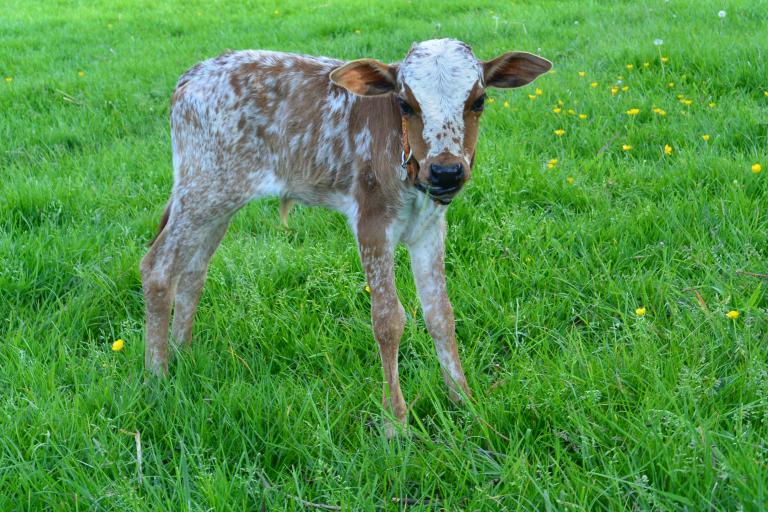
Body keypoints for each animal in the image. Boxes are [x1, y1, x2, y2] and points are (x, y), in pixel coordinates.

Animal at [142, 39, 552, 432]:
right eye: (405, 104)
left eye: (478, 100)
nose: (446, 172)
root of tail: (192, 75)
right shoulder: (371, 222)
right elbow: (388, 320)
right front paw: (395, 424)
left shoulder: (430, 227)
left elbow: (440, 313)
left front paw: (464, 402)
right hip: (203, 189)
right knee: (157, 268)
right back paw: (156, 377)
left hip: (220, 199)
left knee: (193, 271)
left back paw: (182, 354)